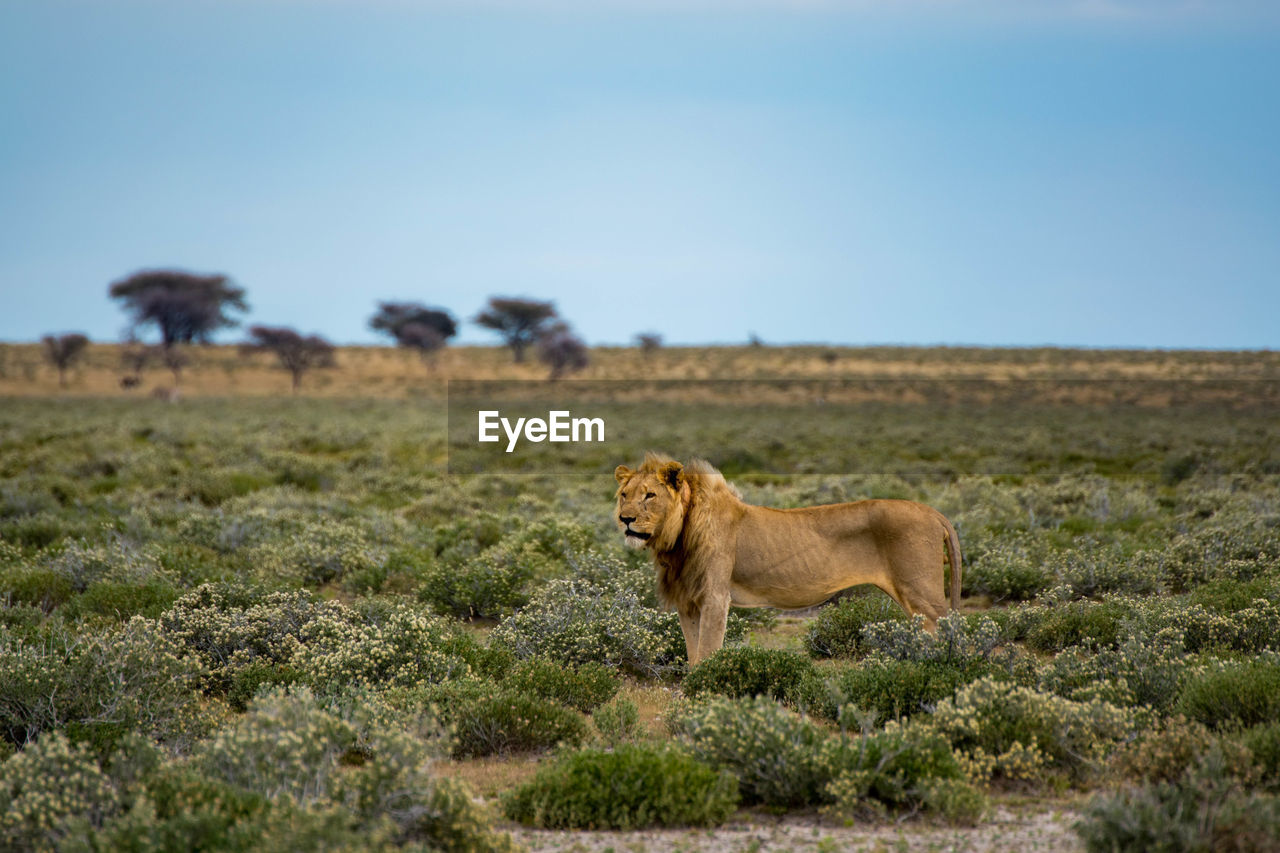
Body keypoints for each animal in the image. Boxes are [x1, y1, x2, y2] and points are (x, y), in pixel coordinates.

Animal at [611, 450, 962, 666]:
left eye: (650, 496)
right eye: (624, 495)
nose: (625, 519)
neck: (677, 535)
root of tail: (934, 512)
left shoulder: (714, 596)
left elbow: (707, 652)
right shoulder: (688, 601)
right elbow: (692, 652)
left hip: (922, 593)